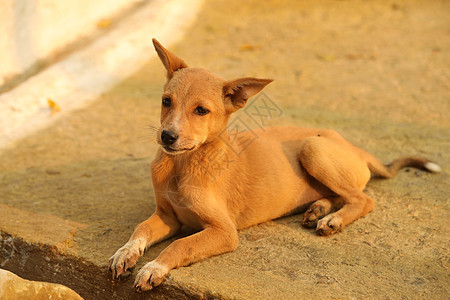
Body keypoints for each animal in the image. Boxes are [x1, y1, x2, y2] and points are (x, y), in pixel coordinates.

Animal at [108, 38, 440, 292]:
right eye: (166, 101)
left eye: (201, 110)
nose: (167, 136)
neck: (183, 165)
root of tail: (355, 148)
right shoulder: (167, 216)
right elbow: (140, 228)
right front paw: (125, 253)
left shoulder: (224, 231)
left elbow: (180, 246)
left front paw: (153, 267)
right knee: (343, 194)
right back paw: (318, 208)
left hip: (312, 148)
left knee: (364, 199)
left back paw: (333, 219)